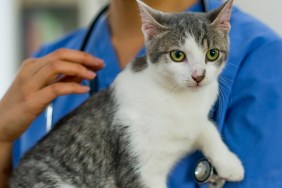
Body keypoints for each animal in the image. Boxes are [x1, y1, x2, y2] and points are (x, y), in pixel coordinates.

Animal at [11, 0, 243, 188]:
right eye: (177, 55)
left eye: (212, 54)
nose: (198, 75)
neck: (178, 97)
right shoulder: (137, 167)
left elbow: (205, 127)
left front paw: (229, 162)